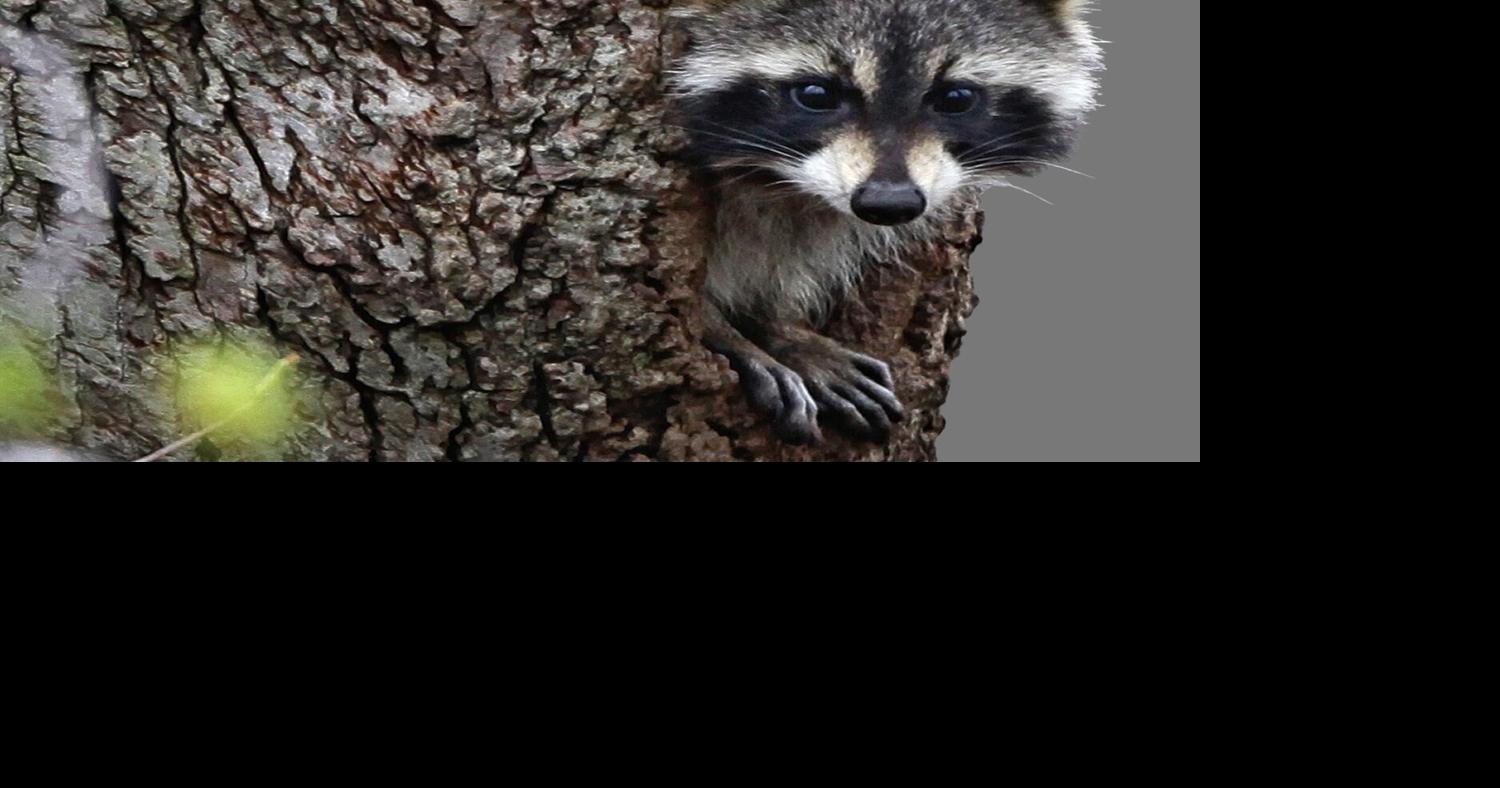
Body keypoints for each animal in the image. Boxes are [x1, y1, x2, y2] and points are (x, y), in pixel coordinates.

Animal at [671, 0, 1102, 444]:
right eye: (816, 95)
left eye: (957, 98)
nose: (889, 202)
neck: (776, 183)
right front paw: (722, 329)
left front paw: (776, 325)